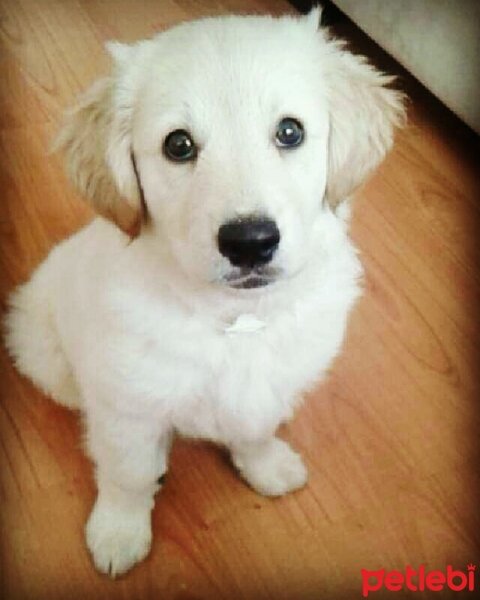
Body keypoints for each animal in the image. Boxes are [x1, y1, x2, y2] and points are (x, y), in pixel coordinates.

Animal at [4, 8, 404, 576]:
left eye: (290, 132)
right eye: (178, 145)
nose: (250, 242)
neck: (235, 318)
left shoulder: (271, 387)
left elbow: (255, 430)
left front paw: (267, 467)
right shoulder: (127, 409)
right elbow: (128, 475)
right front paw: (119, 531)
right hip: (44, 351)